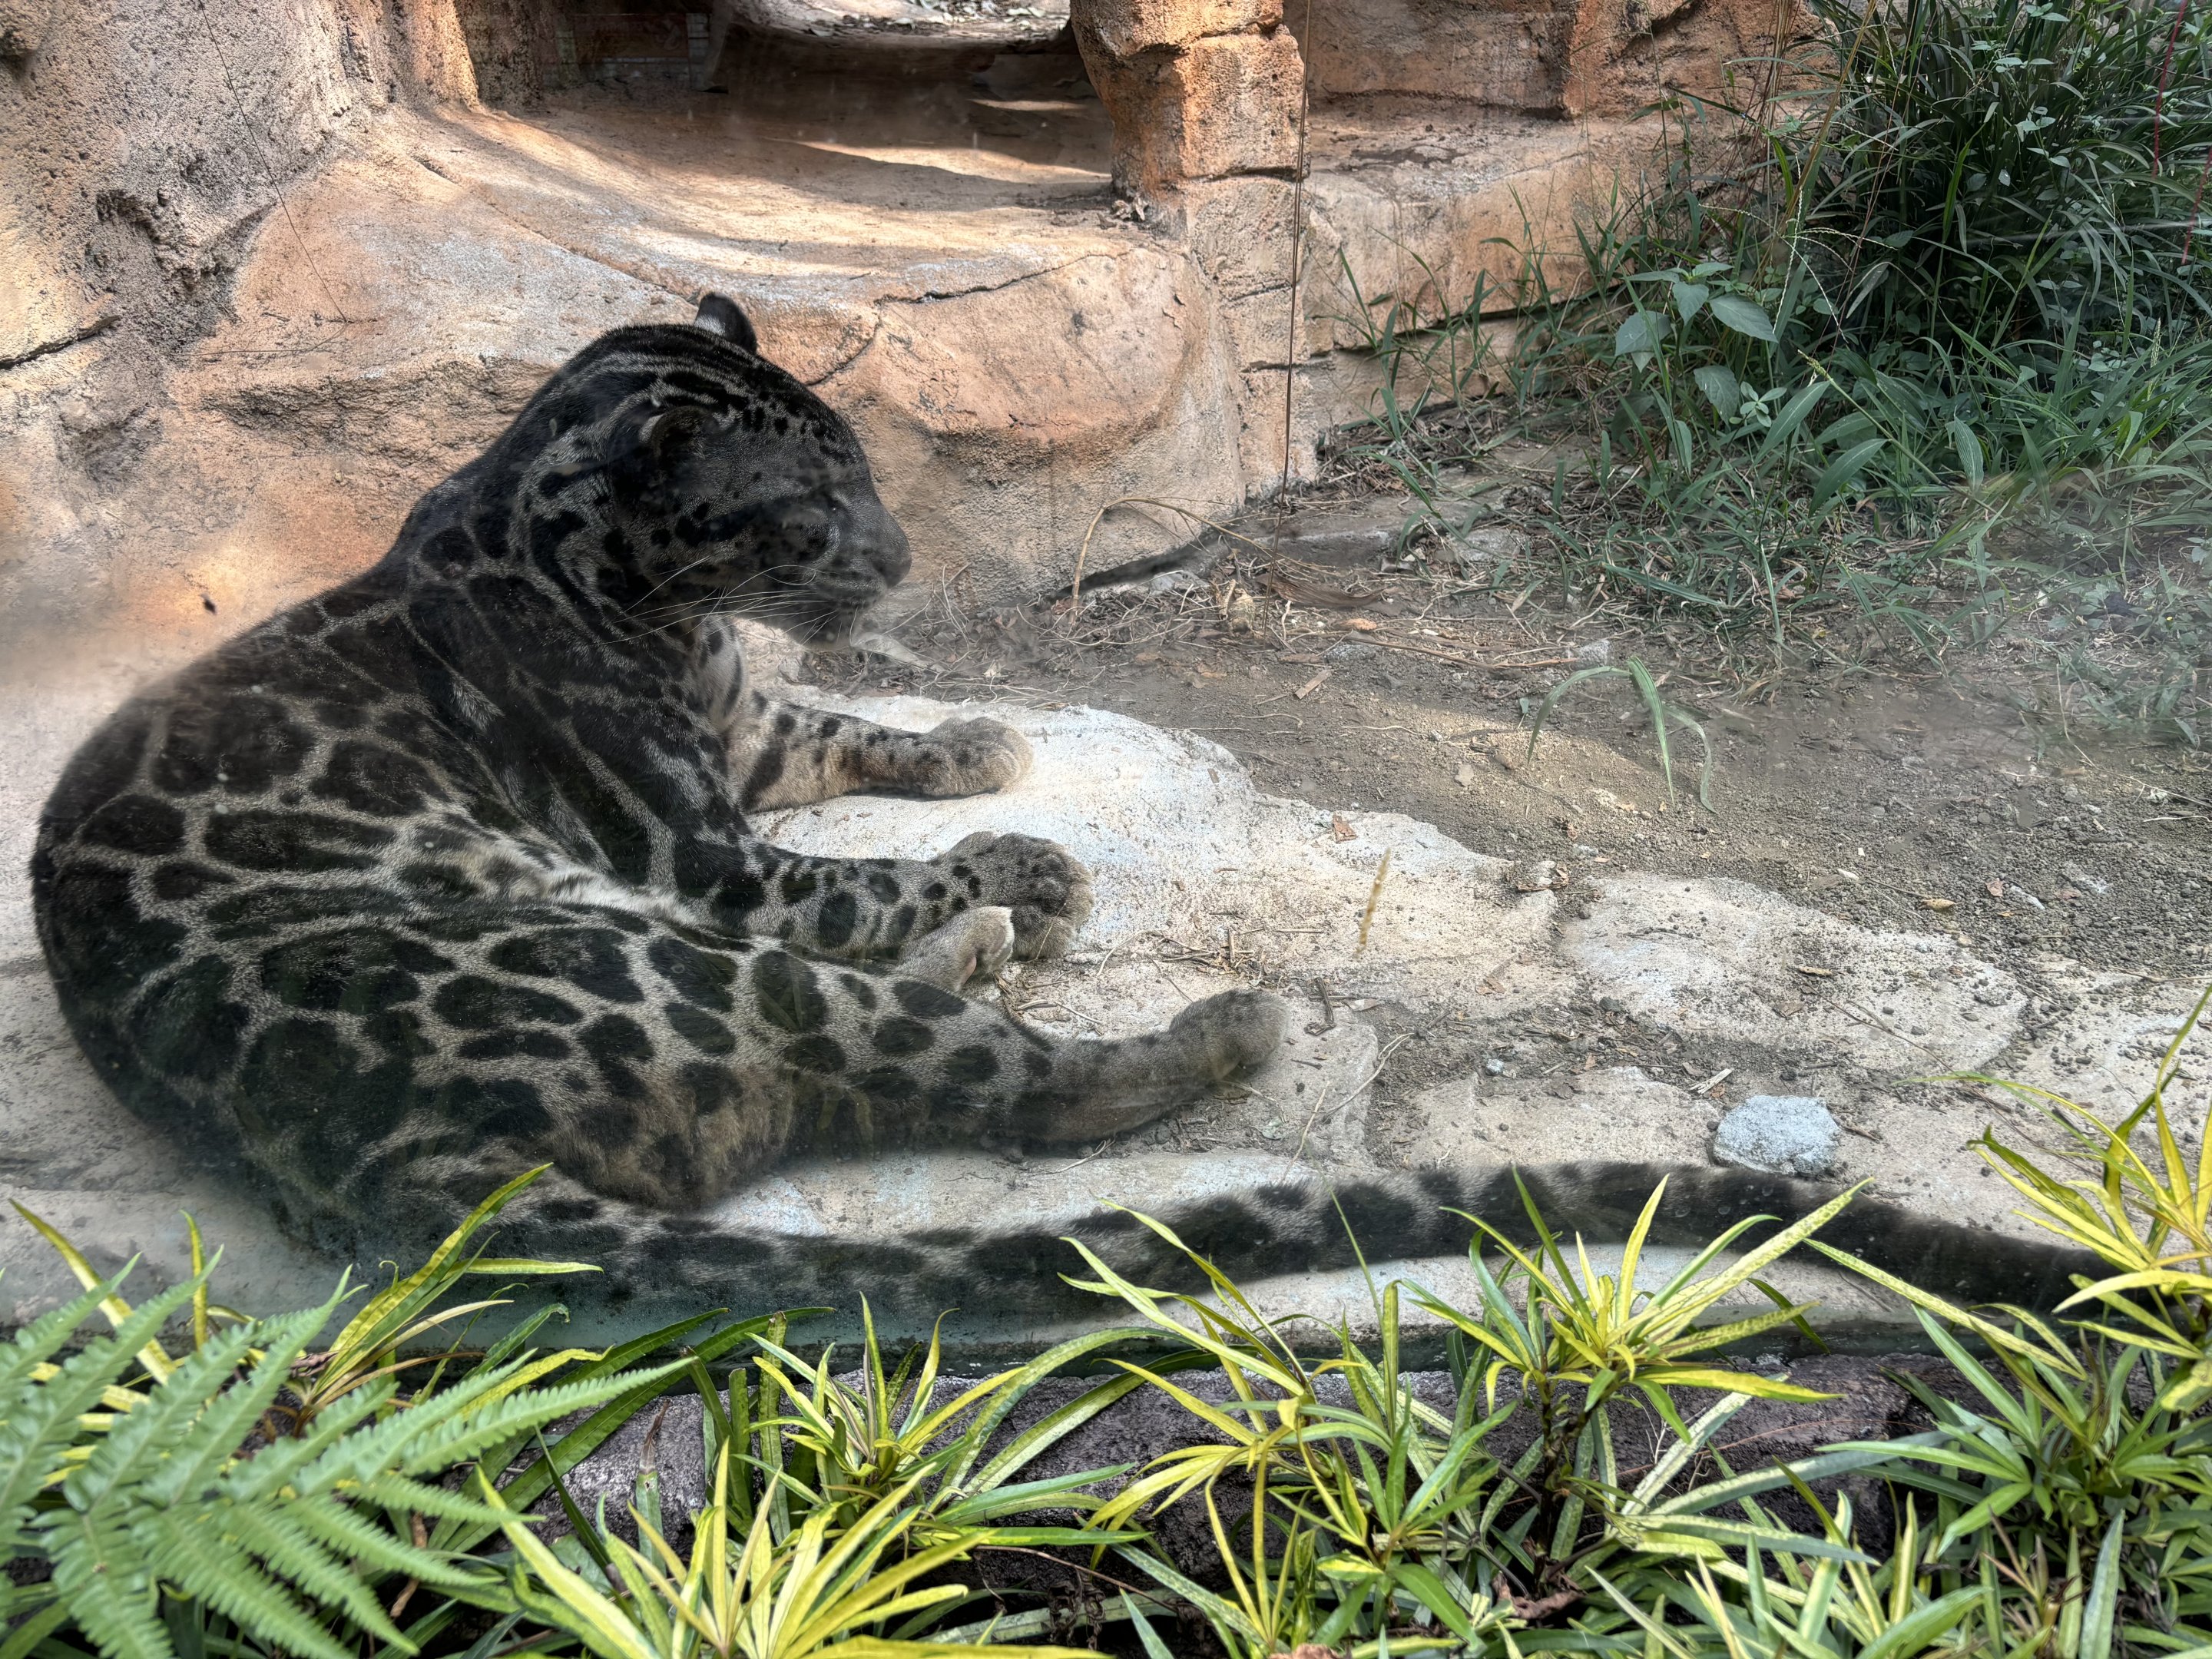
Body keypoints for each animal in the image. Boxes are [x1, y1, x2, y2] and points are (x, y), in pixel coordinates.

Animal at [31, 293, 2092, 1324]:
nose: (895, 554)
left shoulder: (752, 737)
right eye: (806, 508)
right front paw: (1022, 852)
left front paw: (983, 748)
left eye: (863, 482)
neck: (634, 591)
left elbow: (853, 729)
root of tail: (391, 1168)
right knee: (1003, 1079)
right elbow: (843, 870)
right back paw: (1167, 996)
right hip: (669, 959)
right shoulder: (699, 853)